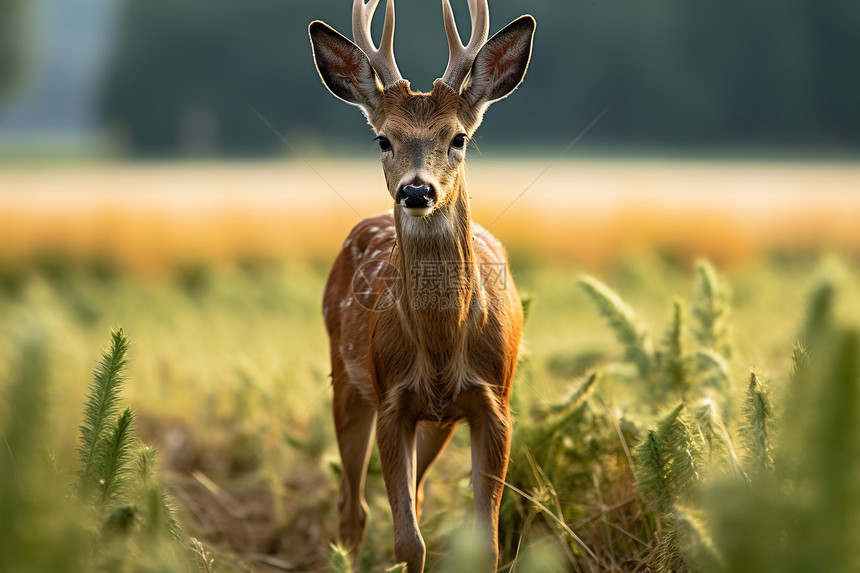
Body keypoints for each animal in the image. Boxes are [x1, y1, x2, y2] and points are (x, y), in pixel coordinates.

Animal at [310, 2, 536, 568]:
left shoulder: (494, 403)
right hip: (346, 379)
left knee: (414, 493)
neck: (440, 347)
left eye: (458, 137)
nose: (417, 190)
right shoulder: (392, 402)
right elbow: (408, 542)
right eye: (383, 138)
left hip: (439, 422)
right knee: (352, 507)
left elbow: (486, 542)